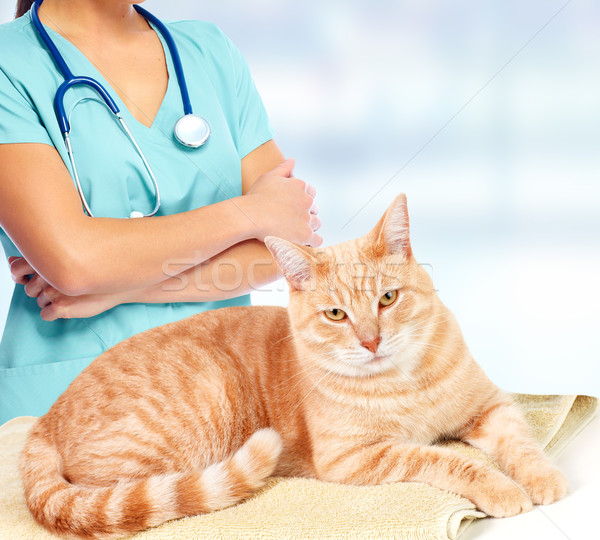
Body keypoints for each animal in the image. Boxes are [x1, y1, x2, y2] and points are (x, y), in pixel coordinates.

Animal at [21, 193, 564, 536]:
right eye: (336, 314)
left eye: (388, 298)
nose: (371, 341)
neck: (405, 378)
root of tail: (45, 418)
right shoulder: (358, 458)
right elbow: (446, 460)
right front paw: (500, 488)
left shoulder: (490, 406)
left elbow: (523, 443)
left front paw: (544, 480)